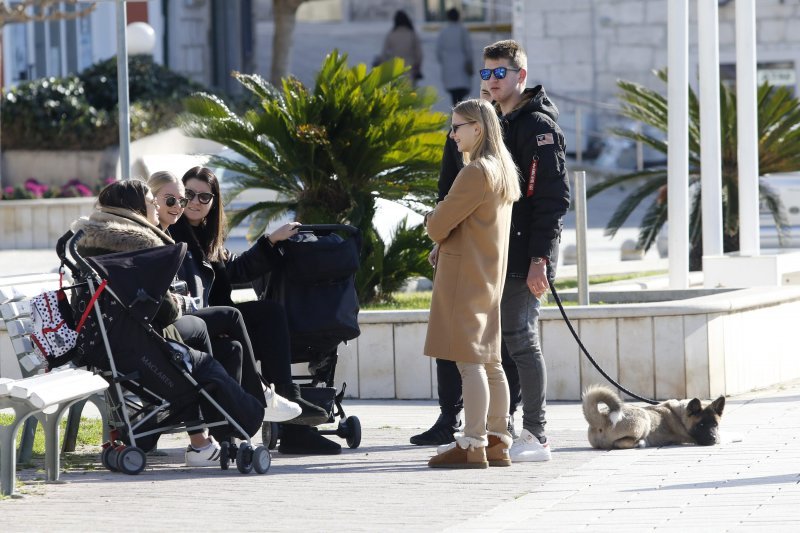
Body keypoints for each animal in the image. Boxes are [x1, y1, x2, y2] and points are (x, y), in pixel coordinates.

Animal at [580, 382, 724, 448]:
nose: (713, 438)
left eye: (715, 424)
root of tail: (601, 418)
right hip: (644, 418)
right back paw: (641, 443)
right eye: (701, 425)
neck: (680, 415)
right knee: (619, 443)